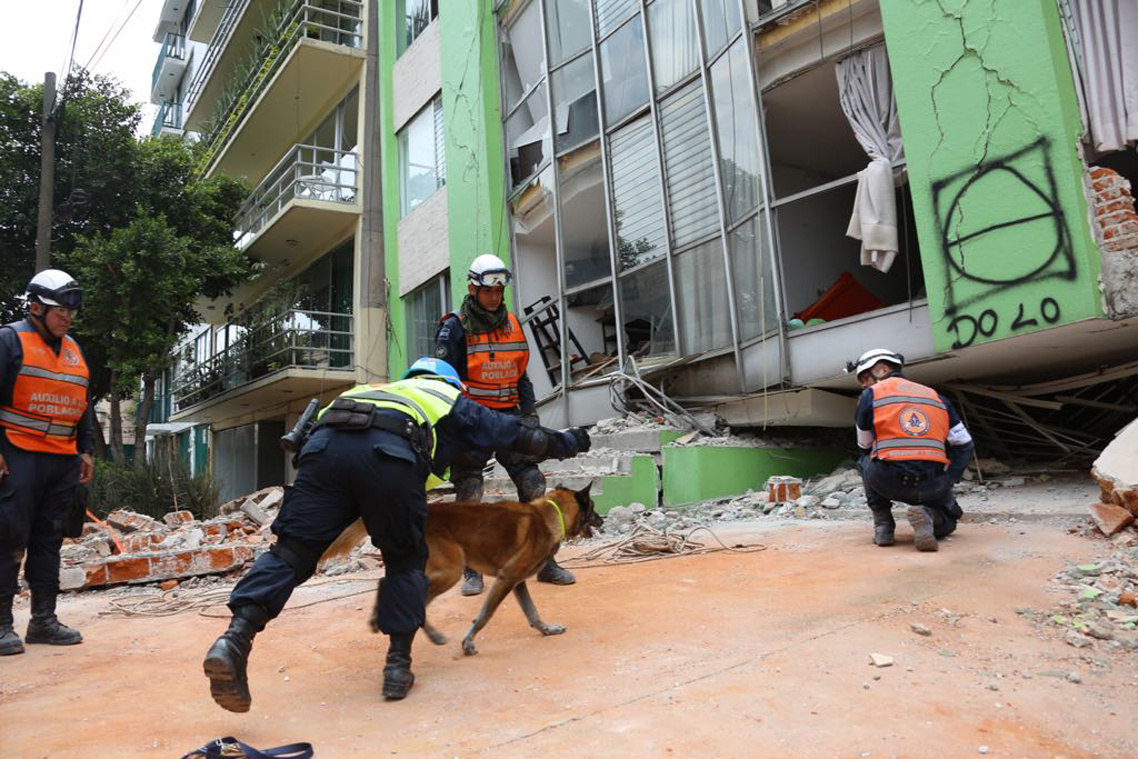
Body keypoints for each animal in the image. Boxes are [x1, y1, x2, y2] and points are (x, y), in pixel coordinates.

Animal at [320, 487, 600, 660]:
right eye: (593, 508)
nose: (602, 520)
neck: (551, 514)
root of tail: (424, 513)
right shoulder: (507, 578)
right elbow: (484, 615)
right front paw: (468, 643)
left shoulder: (517, 582)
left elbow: (533, 612)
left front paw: (546, 629)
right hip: (450, 572)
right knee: (414, 600)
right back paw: (432, 635)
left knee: (384, 582)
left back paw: (376, 618)